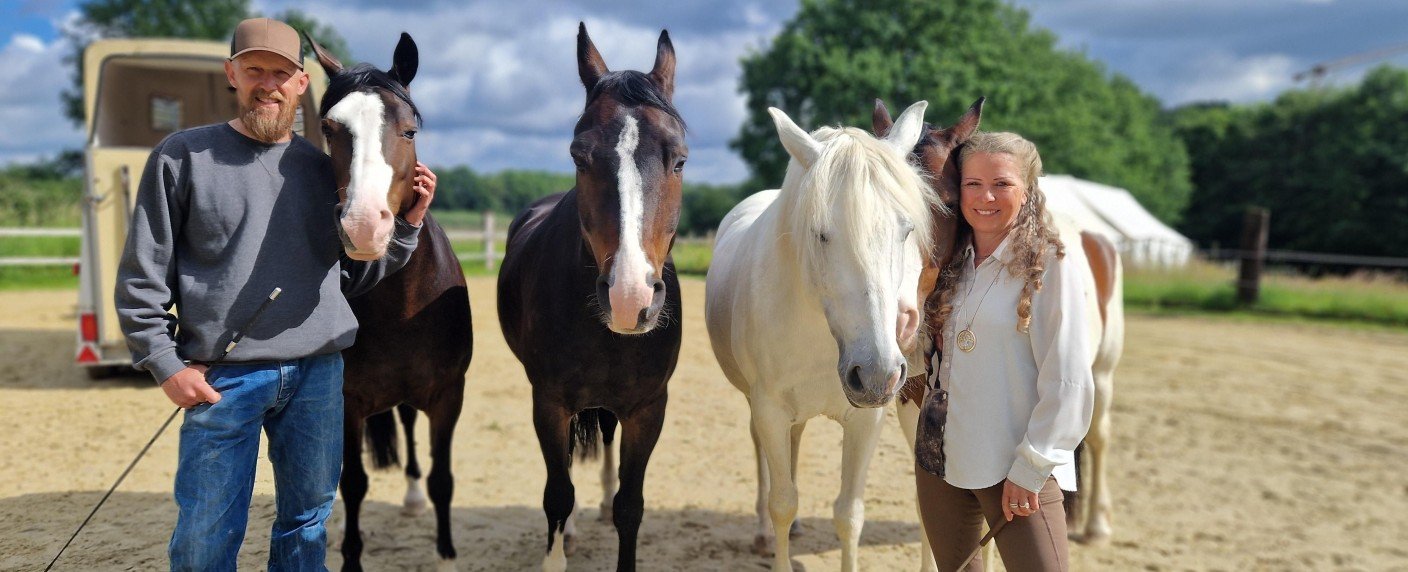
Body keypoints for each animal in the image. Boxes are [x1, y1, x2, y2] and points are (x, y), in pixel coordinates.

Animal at [308, 33, 474, 572]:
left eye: (408, 130)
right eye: (329, 128)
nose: (363, 227)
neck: (401, 304)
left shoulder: (448, 396)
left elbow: (443, 479)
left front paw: (447, 554)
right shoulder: (347, 402)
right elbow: (353, 482)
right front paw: (350, 555)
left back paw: (413, 498)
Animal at [496, 23, 684, 572]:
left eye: (679, 160)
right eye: (579, 156)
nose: (629, 296)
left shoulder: (648, 408)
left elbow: (630, 505)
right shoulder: (549, 403)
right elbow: (557, 495)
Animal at [704, 102, 935, 572]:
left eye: (906, 231)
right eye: (821, 233)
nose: (877, 374)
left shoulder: (866, 419)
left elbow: (849, 513)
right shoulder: (769, 409)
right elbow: (781, 502)